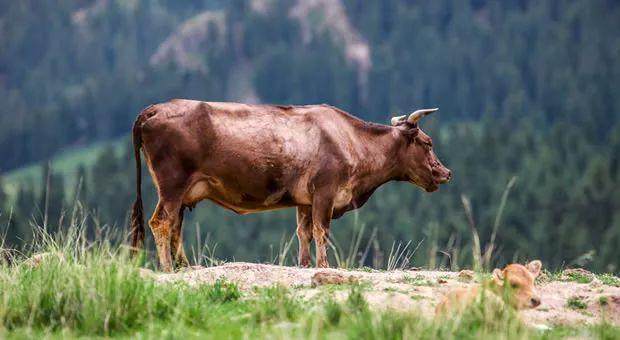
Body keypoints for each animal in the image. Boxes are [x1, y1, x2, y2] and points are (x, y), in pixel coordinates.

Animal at [131, 99, 450, 272]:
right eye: (428, 142)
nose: (445, 173)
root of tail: (154, 109)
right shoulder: (325, 191)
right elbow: (321, 230)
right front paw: (324, 266)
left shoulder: (304, 200)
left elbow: (303, 232)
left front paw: (306, 265)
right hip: (172, 184)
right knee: (161, 222)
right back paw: (168, 268)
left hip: (181, 191)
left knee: (174, 225)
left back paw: (184, 266)